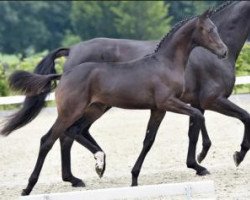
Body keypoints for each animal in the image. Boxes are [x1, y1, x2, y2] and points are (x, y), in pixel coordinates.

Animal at [3, 9, 229, 195]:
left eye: (217, 29)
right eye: (209, 30)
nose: (224, 51)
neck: (166, 64)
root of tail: (63, 75)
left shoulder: (158, 109)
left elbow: (149, 140)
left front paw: (134, 178)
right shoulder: (168, 103)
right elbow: (198, 115)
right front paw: (202, 156)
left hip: (94, 109)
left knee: (71, 133)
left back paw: (90, 169)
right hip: (70, 111)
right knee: (48, 140)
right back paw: (29, 187)